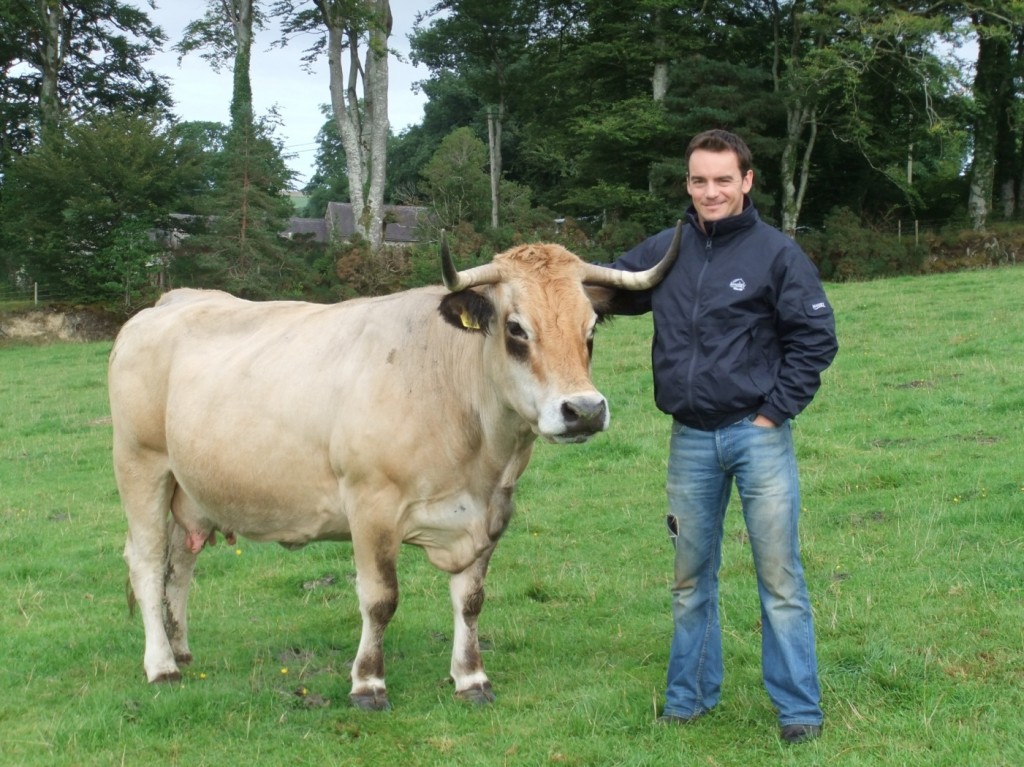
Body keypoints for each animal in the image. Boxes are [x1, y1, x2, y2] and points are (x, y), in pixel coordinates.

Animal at [110, 224, 679, 708]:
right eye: (517, 329)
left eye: (591, 329)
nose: (584, 410)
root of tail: (174, 298)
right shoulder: (371, 505)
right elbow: (380, 598)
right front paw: (368, 684)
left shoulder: (492, 511)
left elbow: (471, 599)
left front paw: (471, 677)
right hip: (141, 464)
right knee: (147, 560)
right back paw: (161, 665)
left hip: (191, 489)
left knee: (180, 562)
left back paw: (181, 648)